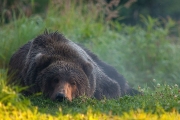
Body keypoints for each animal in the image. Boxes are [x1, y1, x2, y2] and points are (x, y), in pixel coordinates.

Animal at [7, 30, 139, 101]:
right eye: (55, 79)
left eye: (73, 82)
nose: (61, 96)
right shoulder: (21, 76)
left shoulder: (97, 77)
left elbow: (112, 87)